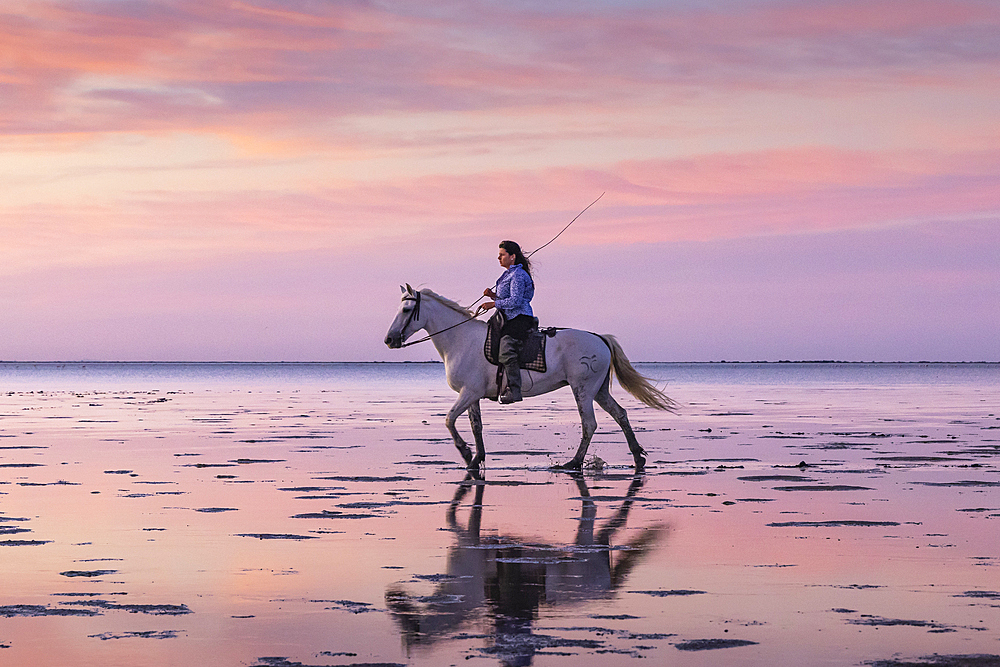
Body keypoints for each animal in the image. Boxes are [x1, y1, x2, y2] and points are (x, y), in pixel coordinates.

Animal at [384, 286, 680, 470]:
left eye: (407, 311)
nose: (389, 340)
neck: (460, 340)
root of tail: (599, 338)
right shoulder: (472, 395)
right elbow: (476, 426)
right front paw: (476, 459)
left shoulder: (468, 393)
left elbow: (448, 420)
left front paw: (466, 453)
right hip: (599, 391)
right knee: (620, 414)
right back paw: (637, 457)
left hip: (583, 389)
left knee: (589, 424)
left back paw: (573, 463)